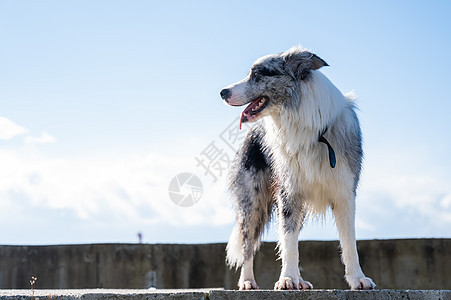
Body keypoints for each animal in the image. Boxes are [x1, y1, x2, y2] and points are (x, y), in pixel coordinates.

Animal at [221, 47, 376, 290]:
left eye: (258, 74)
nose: (223, 92)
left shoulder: (345, 193)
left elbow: (349, 243)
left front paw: (358, 279)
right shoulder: (289, 192)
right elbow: (288, 241)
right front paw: (287, 279)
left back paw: (300, 281)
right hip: (252, 201)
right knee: (248, 244)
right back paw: (247, 281)